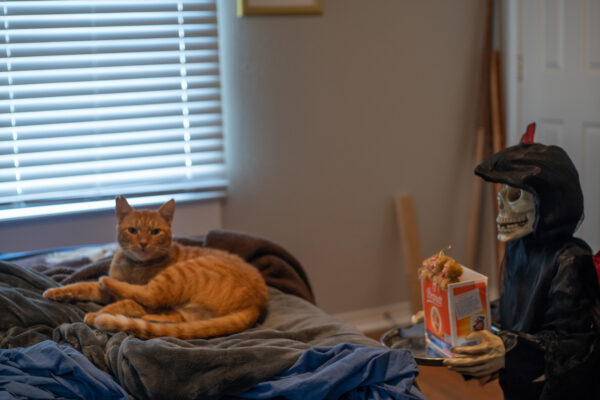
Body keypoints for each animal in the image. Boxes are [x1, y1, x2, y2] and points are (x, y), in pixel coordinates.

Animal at [42, 195, 268, 340]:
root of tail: (257, 303)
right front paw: (56, 292)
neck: (134, 268)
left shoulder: (135, 299)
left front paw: (99, 313)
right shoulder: (105, 292)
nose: (143, 243)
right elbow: (83, 286)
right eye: (133, 230)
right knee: (176, 320)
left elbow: (124, 302)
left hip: (181, 273)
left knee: (150, 295)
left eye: (155, 232)